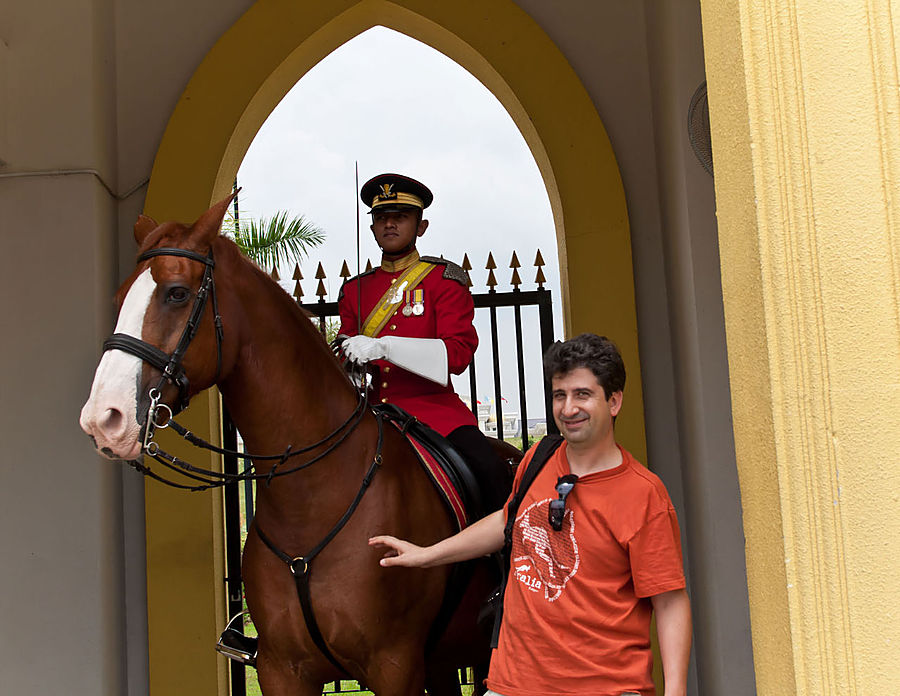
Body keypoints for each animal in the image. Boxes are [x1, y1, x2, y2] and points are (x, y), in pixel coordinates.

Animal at [81, 194, 524, 696]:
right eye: (119, 299)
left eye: (176, 292)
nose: (104, 417)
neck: (310, 495)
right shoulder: (281, 670)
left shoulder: (395, 666)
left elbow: (455, 345)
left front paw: (367, 347)